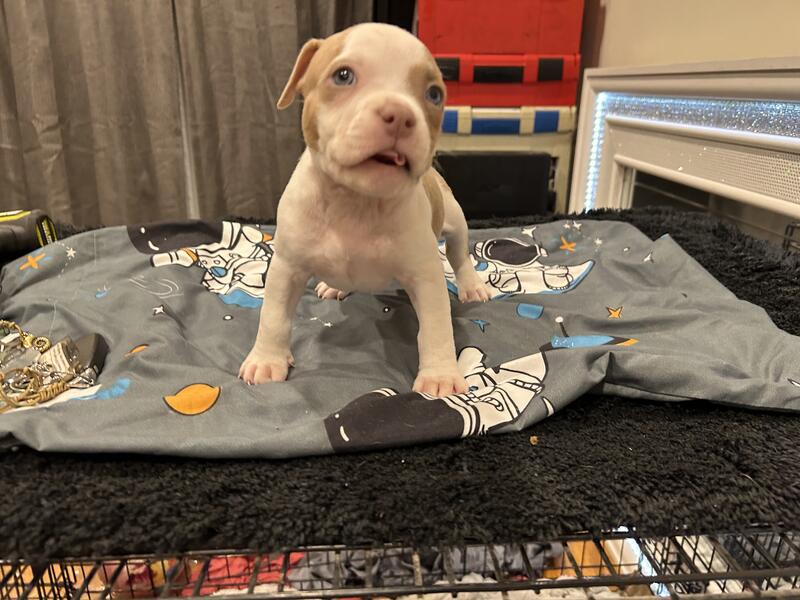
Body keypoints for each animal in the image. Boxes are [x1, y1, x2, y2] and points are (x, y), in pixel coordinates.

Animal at [238, 23, 490, 396]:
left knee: (459, 254)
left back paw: (473, 286)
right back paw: (335, 287)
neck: (355, 200)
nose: (401, 115)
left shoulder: (425, 275)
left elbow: (435, 327)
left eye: (433, 94)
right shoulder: (287, 267)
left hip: (454, 219)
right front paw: (267, 361)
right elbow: (273, 317)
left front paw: (440, 375)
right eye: (343, 76)